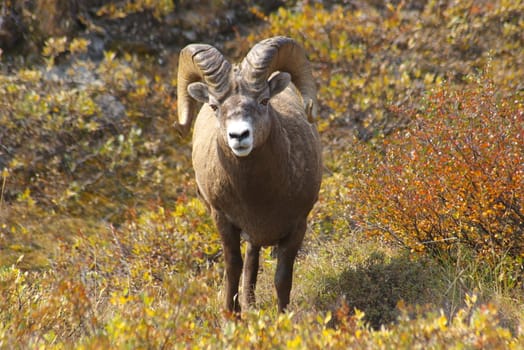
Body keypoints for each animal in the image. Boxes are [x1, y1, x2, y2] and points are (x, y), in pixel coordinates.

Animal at [178, 37, 322, 314]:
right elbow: (233, 269)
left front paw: (283, 316)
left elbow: (282, 278)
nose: (239, 136)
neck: (257, 197)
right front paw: (231, 316)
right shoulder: (223, 221)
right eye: (215, 106)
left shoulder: (297, 227)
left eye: (264, 101)